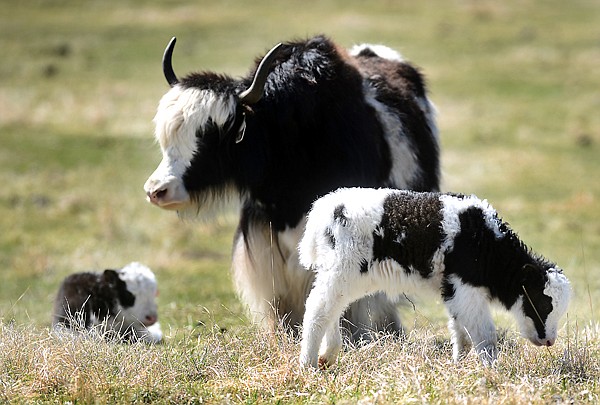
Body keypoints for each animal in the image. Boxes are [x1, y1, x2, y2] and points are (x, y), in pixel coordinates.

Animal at [300, 188, 572, 368]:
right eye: (542, 303)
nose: (549, 341)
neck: (488, 244)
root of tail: (324, 208)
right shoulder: (466, 287)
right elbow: (484, 334)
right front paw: (491, 371)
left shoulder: (453, 288)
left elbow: (460, 329)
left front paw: (459, 365)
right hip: (341, 270)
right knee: (317, 309)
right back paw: (308, 365)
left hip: (341, 275)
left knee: (331, 308)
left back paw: (327, 356)